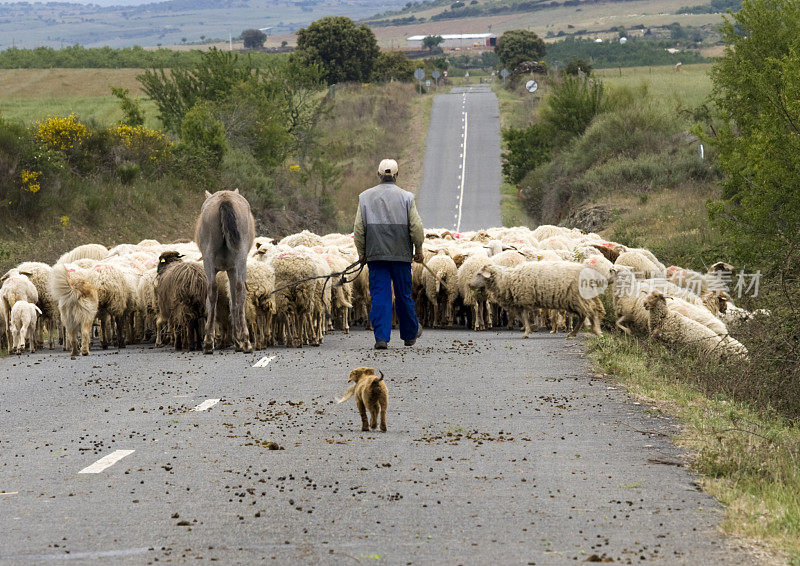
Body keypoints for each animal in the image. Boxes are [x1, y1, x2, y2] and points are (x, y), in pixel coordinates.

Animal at [468, 260, 608, 338]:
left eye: (479, 274)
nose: (469, 285)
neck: (506, 279)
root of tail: (590, 275)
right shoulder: (520, 304)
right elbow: (522, 318)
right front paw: (530, 329)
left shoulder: (525, 299)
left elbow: (524, 318)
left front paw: (526, 332)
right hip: (576, 300)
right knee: (584, 315)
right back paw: (573, 333)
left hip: (577, 298)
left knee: (592, 311)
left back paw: (597, 331)